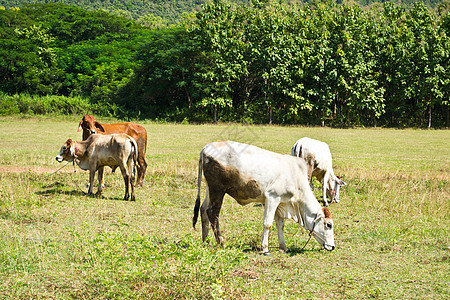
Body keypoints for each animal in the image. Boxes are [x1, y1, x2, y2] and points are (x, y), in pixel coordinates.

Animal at [192, 141, 336, 255]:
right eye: (328, 225)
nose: (333, 246)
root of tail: (206, 148)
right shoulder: (272, 198)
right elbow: (268, 224)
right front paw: (265, 249)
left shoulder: (280, 203)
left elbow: (280, 225)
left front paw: (283, 247)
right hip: (218, 190)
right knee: (212, 213)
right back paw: (221, 242)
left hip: (209, 189)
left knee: (203, 209)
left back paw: (205, 241)